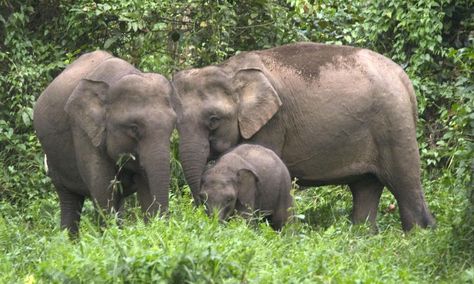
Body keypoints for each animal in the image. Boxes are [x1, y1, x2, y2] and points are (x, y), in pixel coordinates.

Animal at [33, 51, 176, 235]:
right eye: (134, 128)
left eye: (173, 126)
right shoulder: (82, 129)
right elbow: (102, 190)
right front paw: (111, 236)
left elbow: (145, 188)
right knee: (69, 200)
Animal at [172, 42, 436, 233]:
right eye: (176, 121)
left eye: (214, 120)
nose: (200, 205)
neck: (229, 70)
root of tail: (405, 80)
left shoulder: (273, 122)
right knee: (366, 187)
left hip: (395, 125)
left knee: (404, 183)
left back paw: (418, 235)